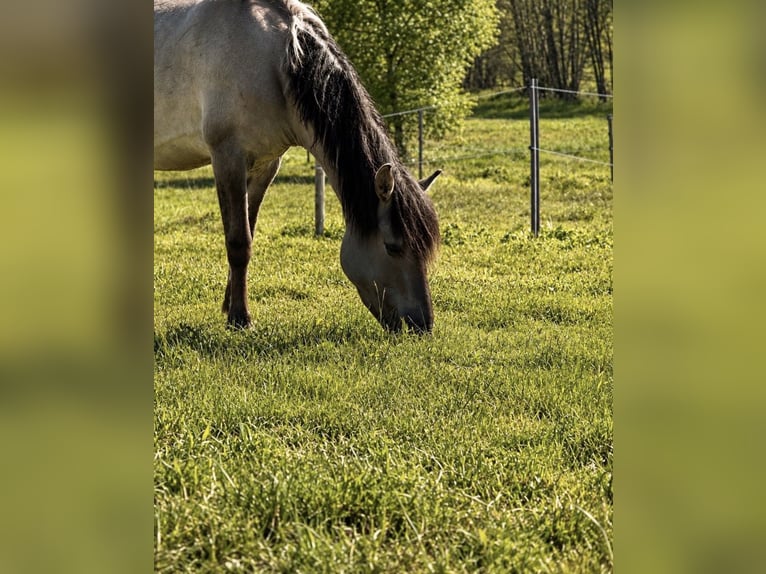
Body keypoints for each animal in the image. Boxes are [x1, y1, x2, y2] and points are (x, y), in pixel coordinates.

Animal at [154, 0, 441, 333]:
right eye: (393, 247)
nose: (422, 324)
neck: (276, 58)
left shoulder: (265, 165)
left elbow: (248, 232)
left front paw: (229, 306)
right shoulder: (228, 158)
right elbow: (238, 241)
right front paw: (240, 318)